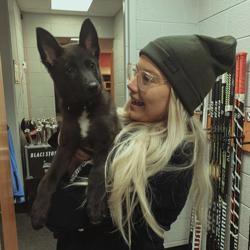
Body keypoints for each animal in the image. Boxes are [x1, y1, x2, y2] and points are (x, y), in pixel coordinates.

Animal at [30, 18, 120, 229]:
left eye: (92, 65)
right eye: (69, 70)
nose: (94, 87)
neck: (84, 108)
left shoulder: (105, 143)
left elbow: (97, 172)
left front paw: (94, 205)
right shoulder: (66, 147)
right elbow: (47, 178)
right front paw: (38, 210)